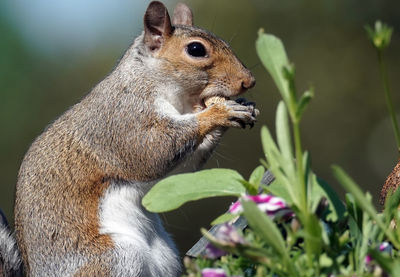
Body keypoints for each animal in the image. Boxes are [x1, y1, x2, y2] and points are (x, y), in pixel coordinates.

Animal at [1, 1, 258, 274]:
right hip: (117, 258)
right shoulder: (123, 120)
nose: (249, 81)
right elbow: (153, 151)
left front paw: (237, 107)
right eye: (196, 49)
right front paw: (219, 112)